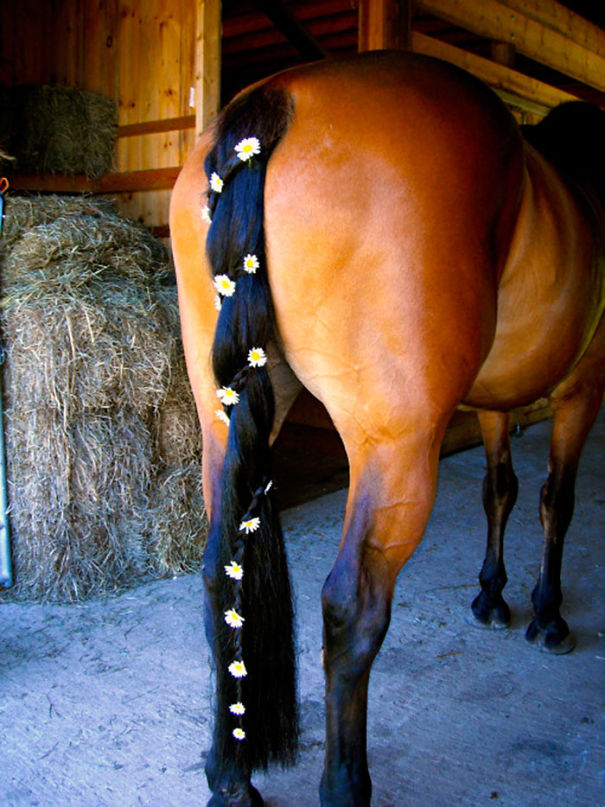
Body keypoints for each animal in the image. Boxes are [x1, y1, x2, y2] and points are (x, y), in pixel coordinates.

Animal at [169, 51, 604, 806]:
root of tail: (277, 97)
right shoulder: (582, 390)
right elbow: (557, 500)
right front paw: (547, 614)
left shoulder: (494, 404)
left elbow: (500, 489)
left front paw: (492, 595)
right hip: (395, 452)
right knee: (352, 604)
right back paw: (344, 784)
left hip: (224, 432)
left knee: (220, 573)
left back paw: (230, 777)